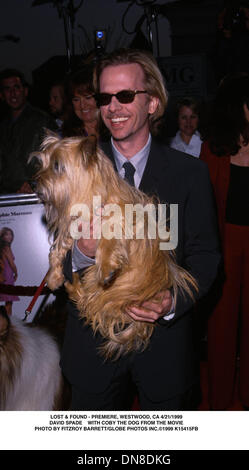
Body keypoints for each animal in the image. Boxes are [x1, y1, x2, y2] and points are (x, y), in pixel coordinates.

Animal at [34, 135, 196, 360]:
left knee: (90, 303)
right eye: (42, 162)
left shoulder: (120, 221)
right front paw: (54, 275)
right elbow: (60, 248)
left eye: (57, 165)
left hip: (117, 292)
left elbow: (108, 239)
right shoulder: (71, 226)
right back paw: (71, 283)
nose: (34, 182)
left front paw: (106, 268)